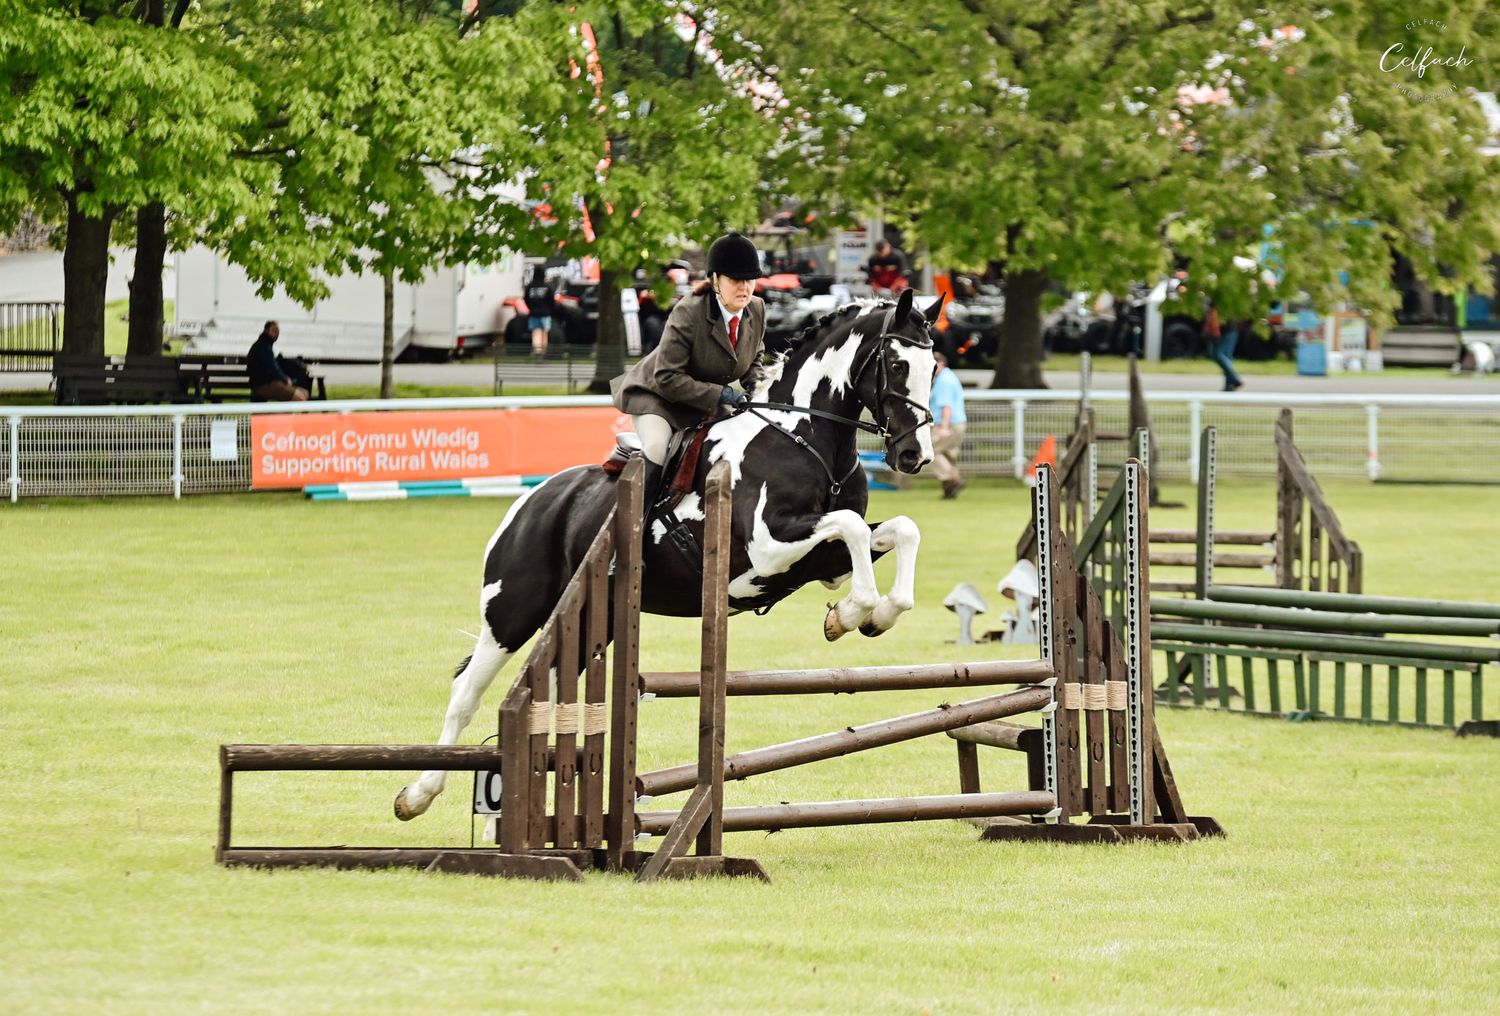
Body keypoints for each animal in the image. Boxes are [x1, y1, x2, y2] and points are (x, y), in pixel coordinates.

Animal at [394, 287, 941, 820]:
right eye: (896, 365)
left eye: (933, 367)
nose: (914, 456)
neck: (803, 438)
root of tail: (532, 499)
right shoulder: (768, 550)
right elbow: (852, 527)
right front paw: (850, 614)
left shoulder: (820, 560)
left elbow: (900, 531)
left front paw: (869, 616)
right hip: (513, 611)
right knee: (467, 692)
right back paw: (416, 795)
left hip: (591, 618)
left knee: (545, 691)